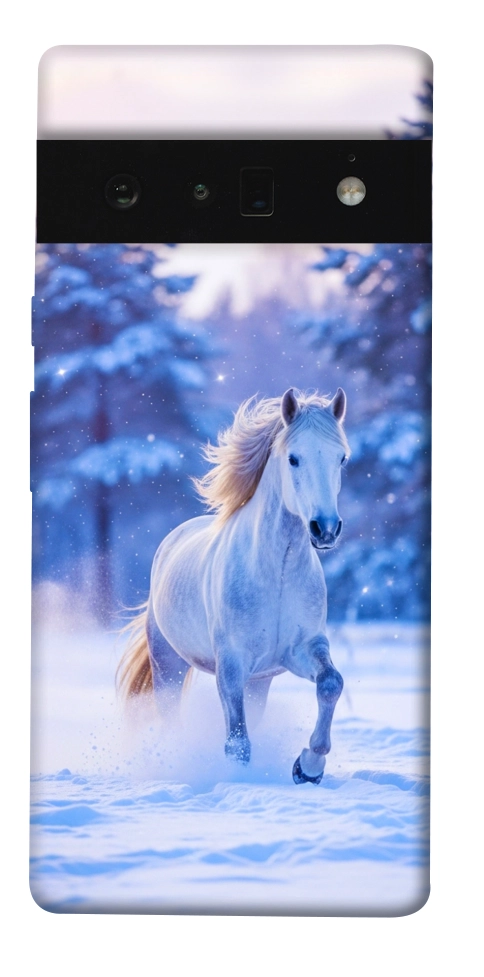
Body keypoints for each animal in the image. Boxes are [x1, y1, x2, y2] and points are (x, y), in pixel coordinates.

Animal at [118, 387, 350, 785]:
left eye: (341, 459)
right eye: (294, 458)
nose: (325, 529)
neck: (277, 573)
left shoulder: (302, 649)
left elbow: (331, 683)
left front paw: (308, 767)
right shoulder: (231, 664)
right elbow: (237, 742)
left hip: (259, 681)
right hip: (168, 665)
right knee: (170, 717)